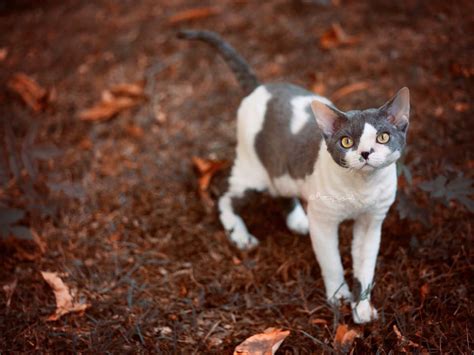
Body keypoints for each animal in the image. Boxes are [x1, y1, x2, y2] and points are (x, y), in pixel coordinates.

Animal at [180, 30, 410, 326]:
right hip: (253, 173)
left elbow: (365, 267)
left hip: (281, 172)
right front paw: (339, 298)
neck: (362, 187)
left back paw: (298, 221)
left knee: (281, 192)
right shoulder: (324, 222)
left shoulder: (372, 222)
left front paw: (362, 308)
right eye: (346, 141)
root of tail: (259, 88)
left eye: (383, 137)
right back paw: (240, 236)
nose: (365, 153)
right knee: (225, 198)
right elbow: (332, 262)